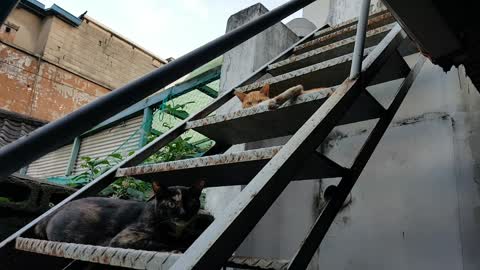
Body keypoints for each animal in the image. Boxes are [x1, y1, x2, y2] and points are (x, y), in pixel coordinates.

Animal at [34, 179, 213, 251]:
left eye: (191, 203)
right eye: (171, 204)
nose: (183, 214)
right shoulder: (124, 239)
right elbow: (163, 242)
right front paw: (179, 247)